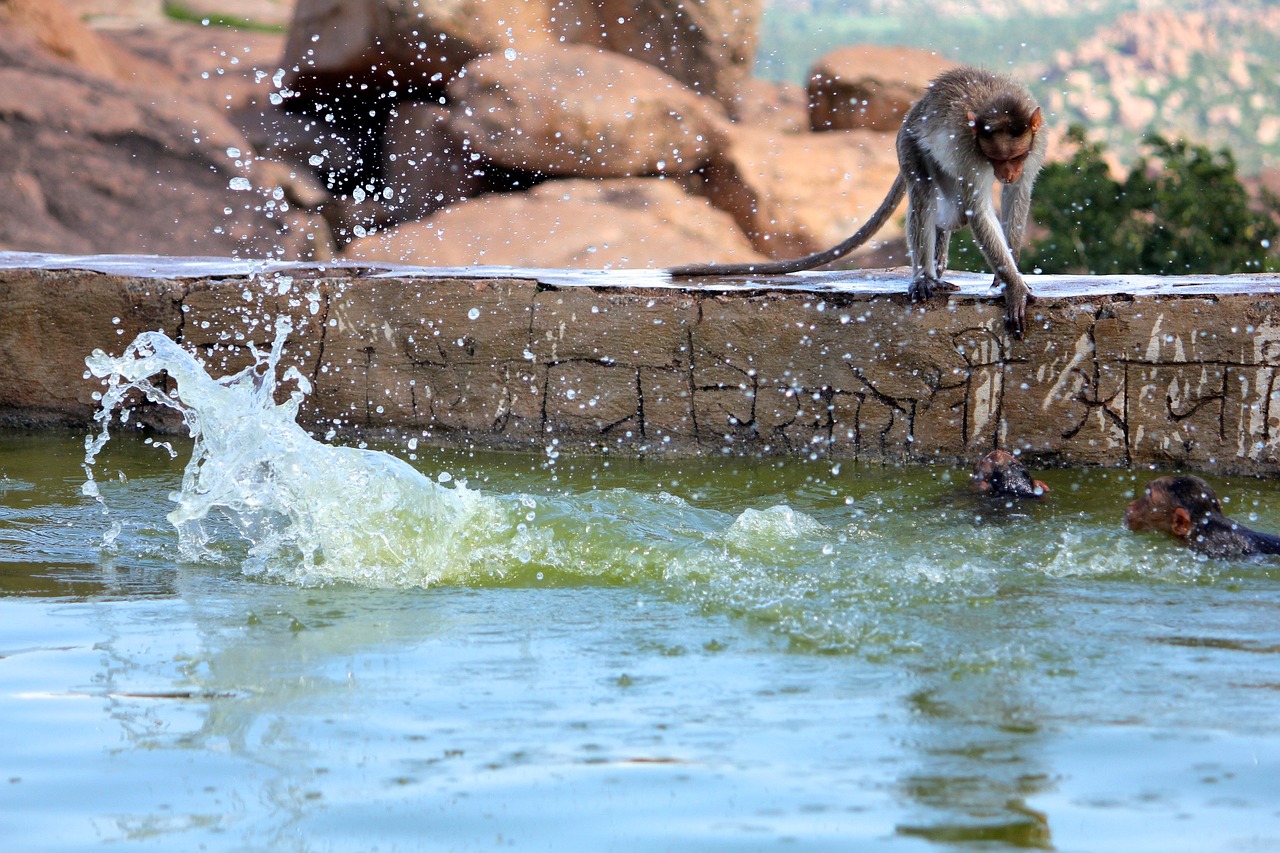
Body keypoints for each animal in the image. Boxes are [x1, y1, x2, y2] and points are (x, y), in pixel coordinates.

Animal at [670, 66, 1049, 338]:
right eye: (997, 158)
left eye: (1016, 157)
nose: (1007, 173)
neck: (995, 102)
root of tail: (913, 113)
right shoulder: (969, 152)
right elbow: (977, 207)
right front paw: (1013, 285)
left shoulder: (1037, 141)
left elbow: (1018, 195)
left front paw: (1007, 271)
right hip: (909, 144)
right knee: (926, 196)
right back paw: (925, 277)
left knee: (950, 213)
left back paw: (938, 262)